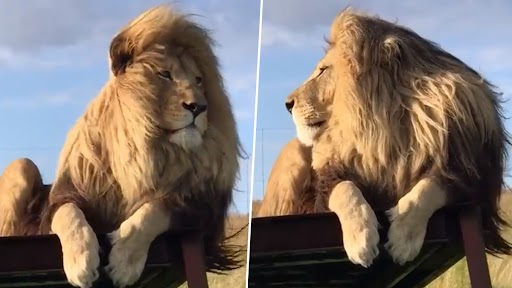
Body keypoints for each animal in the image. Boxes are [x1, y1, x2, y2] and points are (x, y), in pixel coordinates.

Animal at [0, 5, 242, 288]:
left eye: (199, 80)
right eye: (164, 74)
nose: (199, 107)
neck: (149, 149)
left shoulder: (200, 214)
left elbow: (155, 209)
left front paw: (124, 261)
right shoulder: (66, 197)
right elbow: (70, 215)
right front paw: (81, 263)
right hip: (22, 165)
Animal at [264, 6, 512, 268]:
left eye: (323, 71)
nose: (287, 104)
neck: (388, 129)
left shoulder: (471, 178)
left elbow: (429, 188)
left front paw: (404, 238)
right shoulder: (326, 183)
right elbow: (345, 189)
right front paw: (361, 239)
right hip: (294, 151)